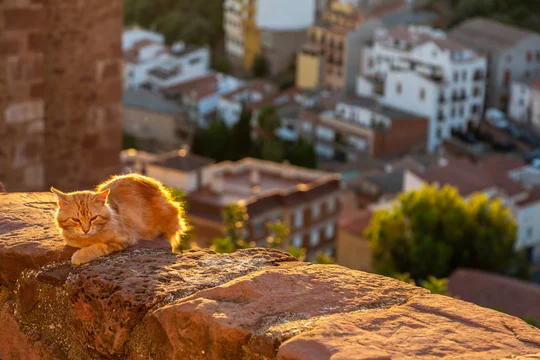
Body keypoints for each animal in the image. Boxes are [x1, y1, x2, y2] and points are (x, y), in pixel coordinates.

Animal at [51, 174, 186, 264]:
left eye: (93, 218)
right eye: (75, 220)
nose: (85, 230)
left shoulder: (124, 239)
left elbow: (98, 247)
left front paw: (79, 255)